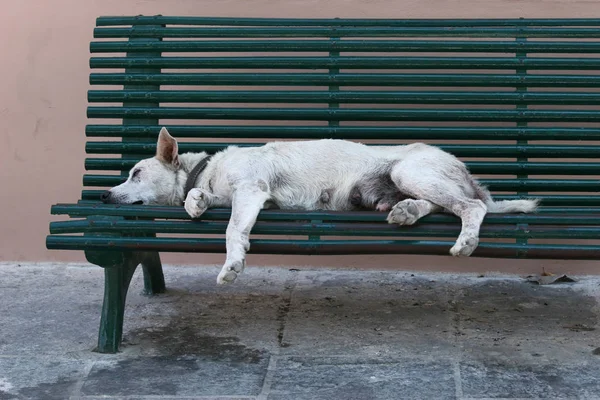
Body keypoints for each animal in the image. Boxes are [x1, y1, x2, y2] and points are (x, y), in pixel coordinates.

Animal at [102, 128, 540, 284]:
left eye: (135, 173)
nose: (104, 196)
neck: (208, 170)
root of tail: (463, 169)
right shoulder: (236, 195)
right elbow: (202, 199)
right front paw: (195, 203)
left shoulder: (252, 190)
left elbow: (233, 229)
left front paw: (232, 264)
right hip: (405, 185)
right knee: (440, 206)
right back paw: (407, 211)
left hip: (410, 172)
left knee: (471, 207)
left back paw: (465, 239)